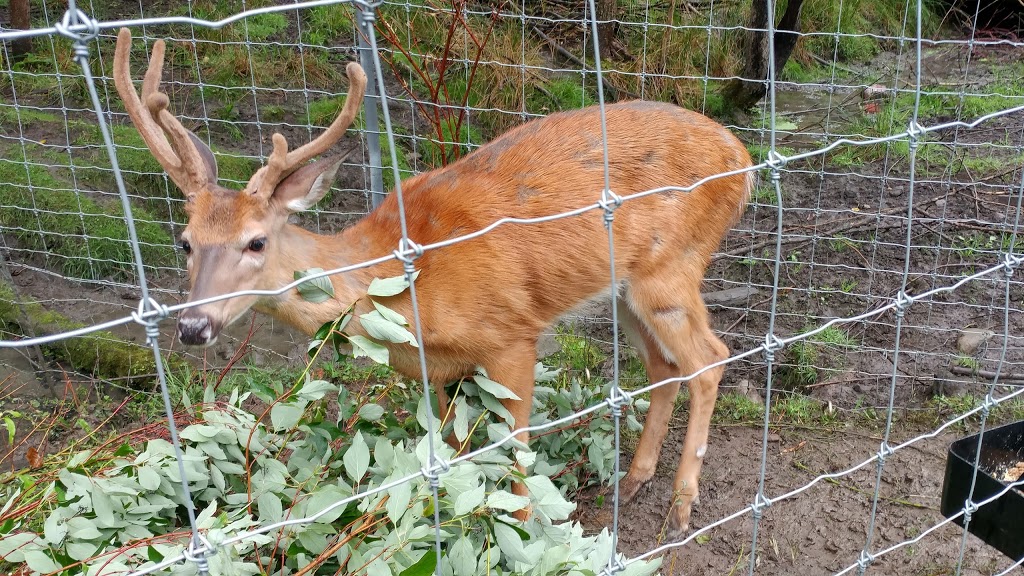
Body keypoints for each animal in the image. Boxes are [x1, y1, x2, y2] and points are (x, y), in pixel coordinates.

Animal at [112, 26, 753, 537]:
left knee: (711, 358)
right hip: (625, 288)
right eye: (185, 241)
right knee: (664, 365)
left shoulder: (513, 335)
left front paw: (523, 532)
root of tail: (744, 160)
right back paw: (633, 482)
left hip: (673, 266)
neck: (398, 284)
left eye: (256, 242)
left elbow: (516, 457)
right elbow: (443, 449)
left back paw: (681, 506)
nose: (194, 326)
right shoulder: (432, 368)